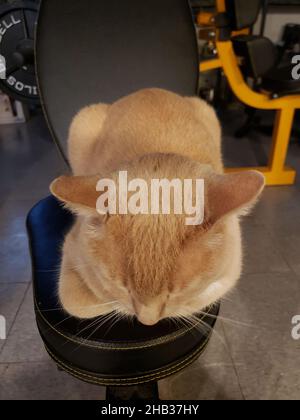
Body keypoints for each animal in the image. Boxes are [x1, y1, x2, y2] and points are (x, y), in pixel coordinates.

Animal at [50, 88, 264, 324]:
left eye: (175, 293)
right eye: (124, 288)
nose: (147, 322)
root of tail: (148, 90)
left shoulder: (230, 268)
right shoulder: (72, 248)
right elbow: (80, 302)